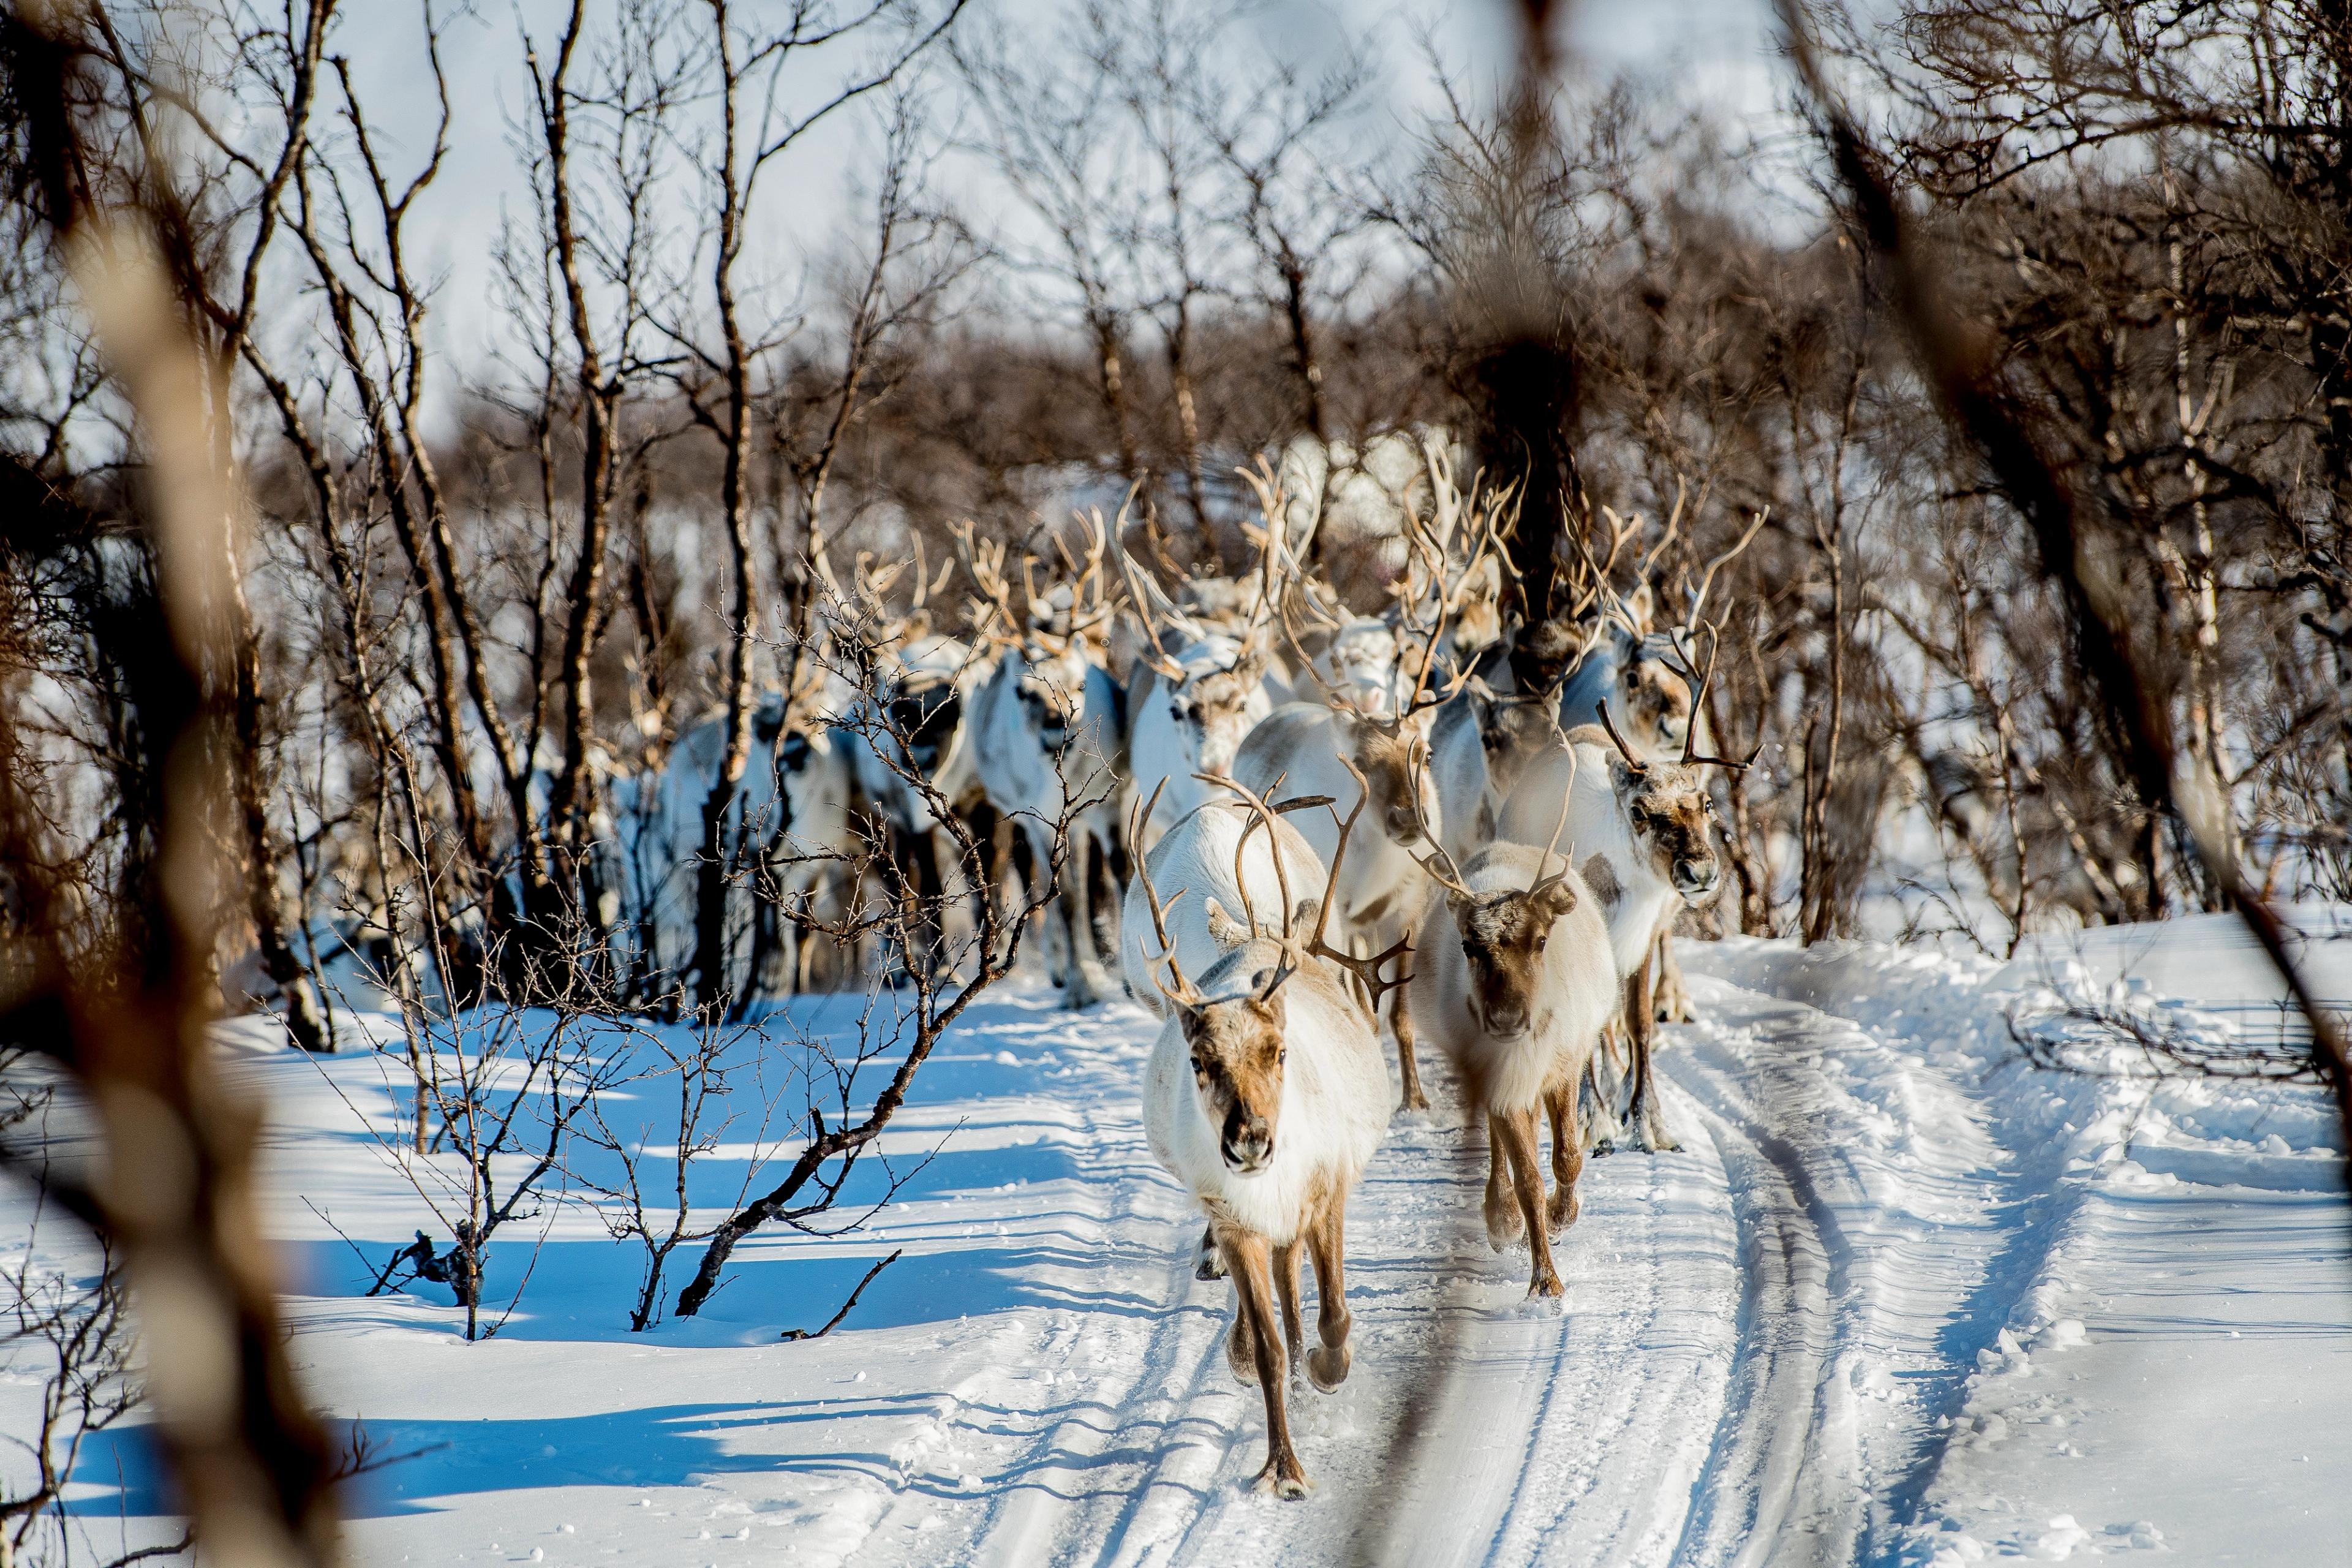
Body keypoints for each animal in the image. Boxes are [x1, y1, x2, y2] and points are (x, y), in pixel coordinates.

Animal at [1132, 765, 1406, 1499]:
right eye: (1199, 1061)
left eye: (1278, 1051)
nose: (1249, 1138)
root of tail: (1264, 936)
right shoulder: (1234, 1220)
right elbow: (1269, 1347)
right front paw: (1283, 1467)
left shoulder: (1326, 1191)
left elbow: (1334, 1314)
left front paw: (1328, 1372)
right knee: (1278, 1298)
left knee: (1301, 1290)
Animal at [1404, 765, 1617, 1298]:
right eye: (1467, 945)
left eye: (1541, 940)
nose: (1506, 1018)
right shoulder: (1499, 1078)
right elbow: (1528, 1180)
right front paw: (1544, 1280)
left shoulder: (1565, 1063)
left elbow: (1568, 1157)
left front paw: (1563, 1218)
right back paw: (1502, 1219)